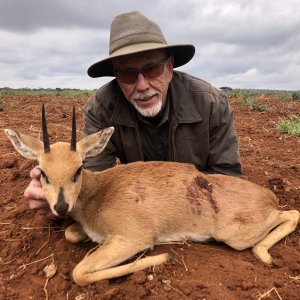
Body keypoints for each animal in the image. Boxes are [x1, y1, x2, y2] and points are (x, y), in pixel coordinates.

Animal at [3, 105, 298, 286]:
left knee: (291, 213)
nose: (62, 206)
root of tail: (268, 195)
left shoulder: (132, 237)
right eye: (42, 172)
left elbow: (80, 272)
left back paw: (264, 255)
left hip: (237, 236)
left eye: (78, 169)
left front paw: (163, 257)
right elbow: (71, 234)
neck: (99, 193)